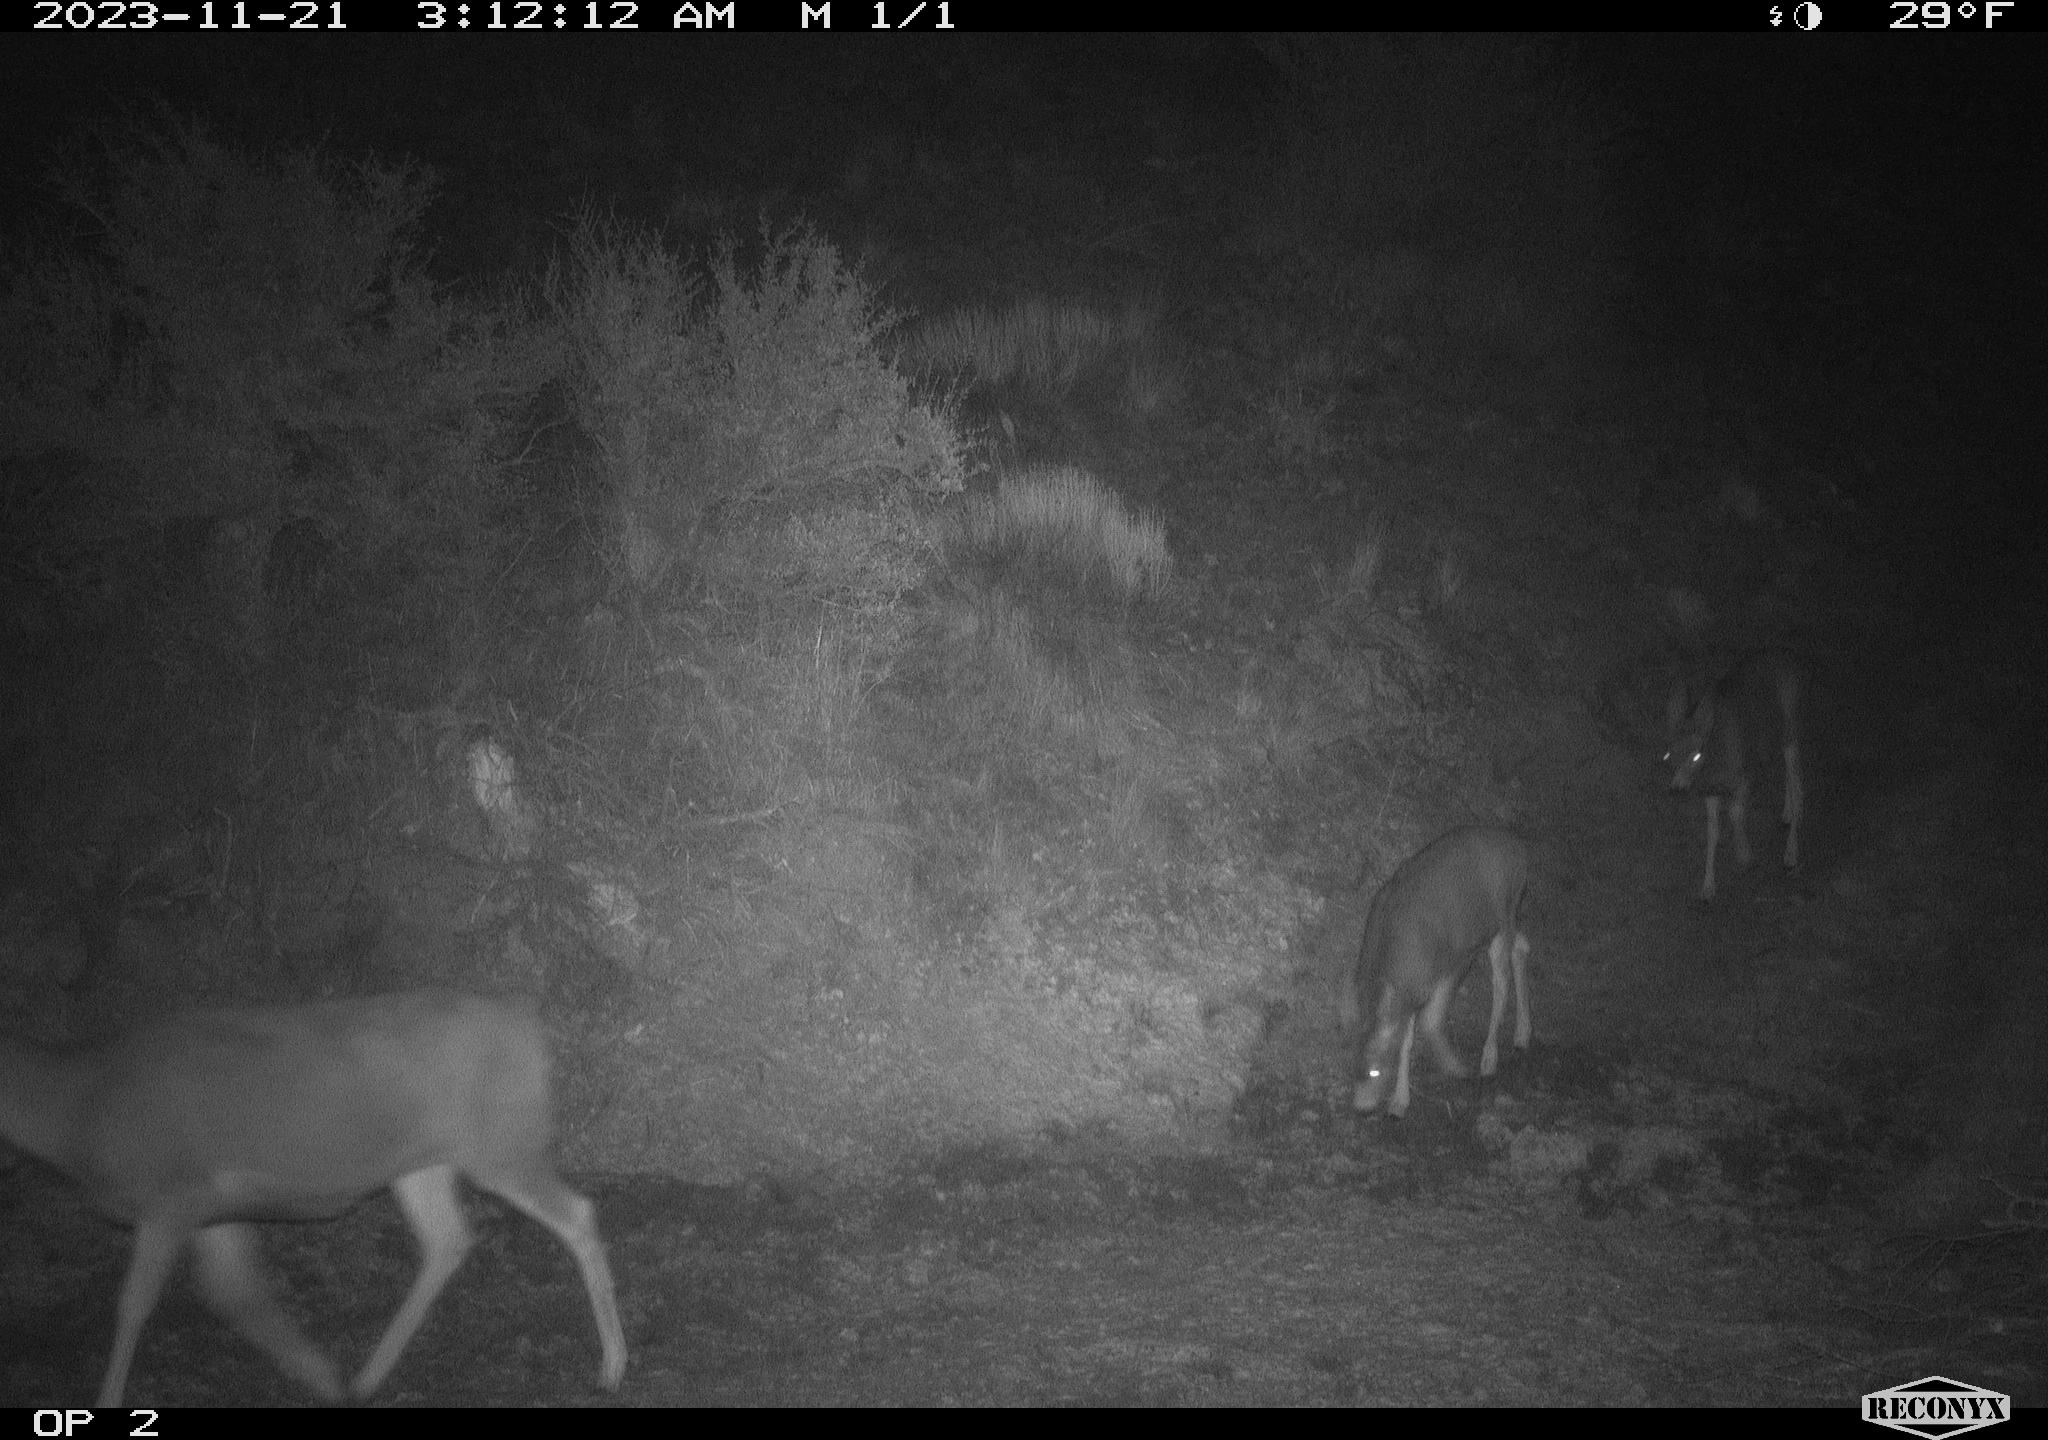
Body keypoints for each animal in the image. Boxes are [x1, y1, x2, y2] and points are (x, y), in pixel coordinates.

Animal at [0, 991, 622, 1409]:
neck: (77, 1109)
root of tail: (532, 1031)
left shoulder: (171, 1195)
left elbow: (134, 1304)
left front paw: (105, 1399)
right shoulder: (210, 1212)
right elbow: (237, 1296)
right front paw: (320, 1375)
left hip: (499, 1140)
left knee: (577, 1214)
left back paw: (611, 1368)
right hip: (423, 1160)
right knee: (448, 1240)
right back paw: (364, 1380)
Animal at [1335, 827, 1531, 1122]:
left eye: (1375, 1071)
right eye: (1351, 1065)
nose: (1362, 1108)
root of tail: (1519, 849)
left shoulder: (1454, 961)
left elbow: (1430, 1021)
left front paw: (1456, 1067)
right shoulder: (1410, 988)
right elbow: (1405, 1040)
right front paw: (1399, 1102)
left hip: (1504, 910)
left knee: (1501, 982)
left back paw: (1489, 1057)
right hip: (1501, 920)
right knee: (1522, 947)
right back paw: (1522, 1034)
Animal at [1662, 651, 1810, 901]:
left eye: (1696, 755)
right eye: (1669, 753)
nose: (1678, 789)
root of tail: (1787, 658)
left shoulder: (1743, 775)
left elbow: (1735, 812)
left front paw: (1744, 856)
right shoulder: (1709, 789)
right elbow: (1713, 832)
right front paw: (1708, 887)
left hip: (1789, 724)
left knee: (1794, 771)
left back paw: (1791, 850)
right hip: (1771, 736)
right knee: (1788, 772)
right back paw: (1790, 813)